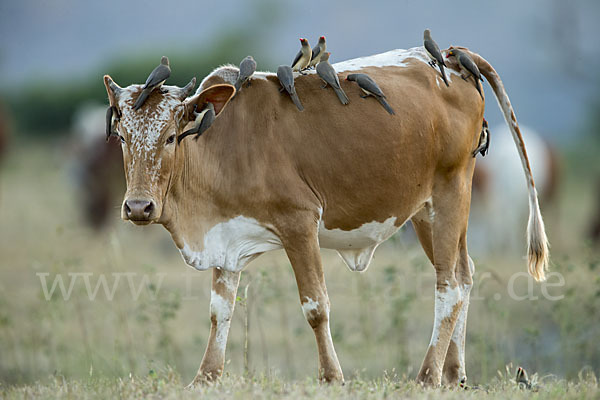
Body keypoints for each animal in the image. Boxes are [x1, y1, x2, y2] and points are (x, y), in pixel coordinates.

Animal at [102, 46, 548, 388]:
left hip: (451, 192)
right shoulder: (226, 236)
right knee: (464, 273)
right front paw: (206, 377)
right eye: (122, 137)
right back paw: (453, 373)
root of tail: (453, 57)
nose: (138, 207)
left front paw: (332, 376)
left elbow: (316, 306)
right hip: (428, 210)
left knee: (449, 286)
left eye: (170, 137)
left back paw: (427, 375)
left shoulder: (299, 223)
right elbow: (220, 309)